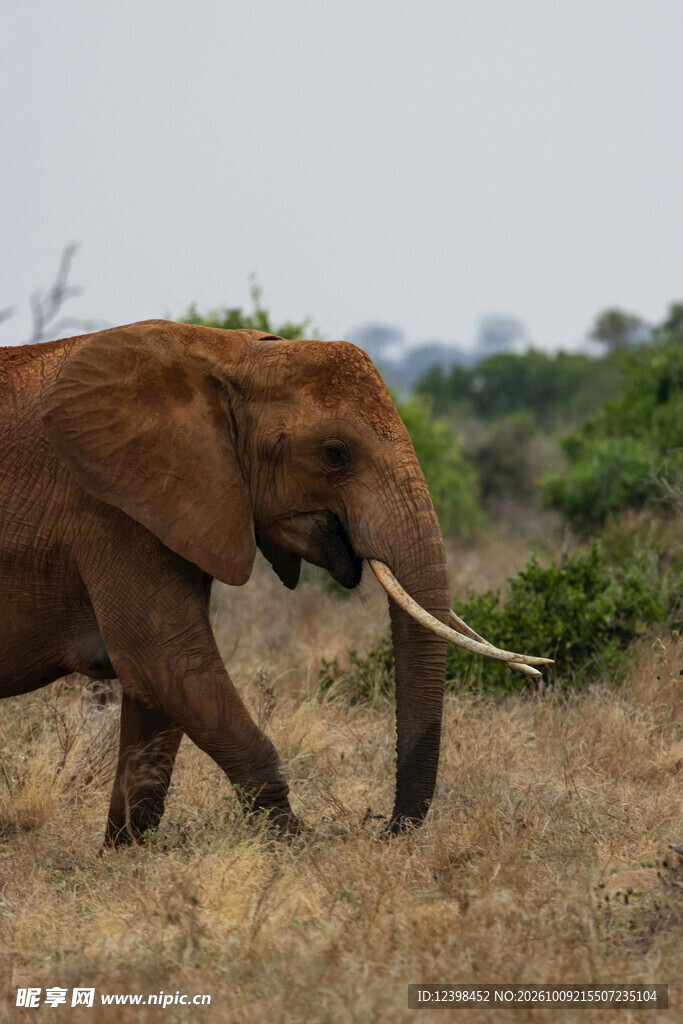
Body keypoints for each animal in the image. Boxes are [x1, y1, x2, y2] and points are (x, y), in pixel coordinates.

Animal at [0, 320, 549, 846]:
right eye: (334, 454)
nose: (382, 830)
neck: (227, 354)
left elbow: (156, 692)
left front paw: (123, 856)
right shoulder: (109, 510)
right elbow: (171, 663)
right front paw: (305, 849)